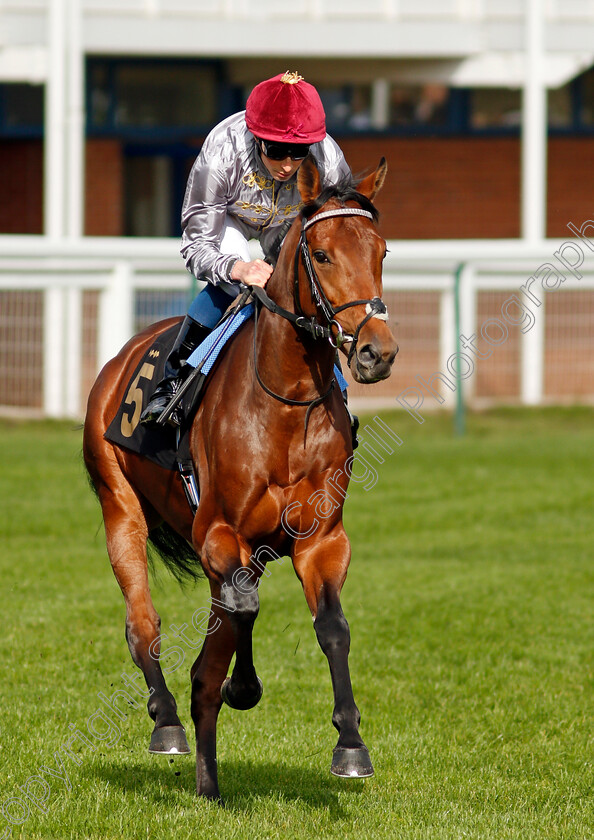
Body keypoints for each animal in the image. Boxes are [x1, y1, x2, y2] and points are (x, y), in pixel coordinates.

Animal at [82, 158, 398, 800]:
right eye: (322, 254)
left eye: (382, 251)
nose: (377, 352)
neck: (286, 403)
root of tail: (120, 358)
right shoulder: (219, 532)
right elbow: (243, 608)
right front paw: (242, 686)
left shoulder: (322, 539)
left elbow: (331, 625)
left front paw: (350, 745)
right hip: (119, 508)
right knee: (143, 624)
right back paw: (167, 722)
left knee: (211, 647)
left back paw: (208, 776)